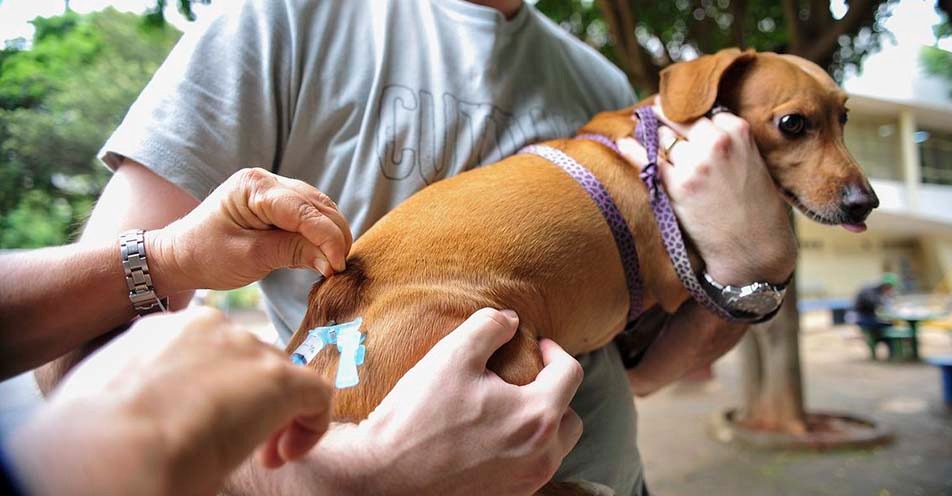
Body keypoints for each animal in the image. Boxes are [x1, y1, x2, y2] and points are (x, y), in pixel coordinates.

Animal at [284, 46, 876, 484]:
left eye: (845, 117)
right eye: (793, 123)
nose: (865, 203)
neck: (653, 140)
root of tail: (339, 298)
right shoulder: (676, 278)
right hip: (512, 357)